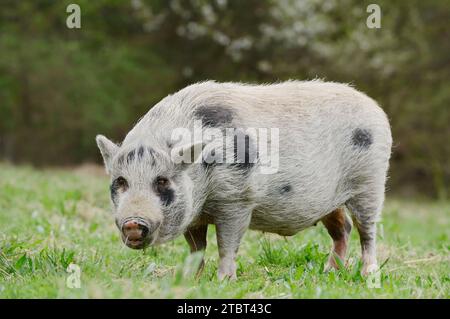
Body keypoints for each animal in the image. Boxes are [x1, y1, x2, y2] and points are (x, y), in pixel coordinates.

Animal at [95, 80, 390, 280]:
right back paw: (329, 272)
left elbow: (227, 244)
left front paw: (224, 280)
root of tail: (375, 107)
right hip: (331, 200)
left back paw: (368, 274)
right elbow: (196, 247)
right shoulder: (194, 213)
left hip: (371, 180)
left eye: (162, 181)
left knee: (367, 230)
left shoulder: (237, 199)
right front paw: (191, 278)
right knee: (344, 228)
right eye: (120, 182)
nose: (133, 222)